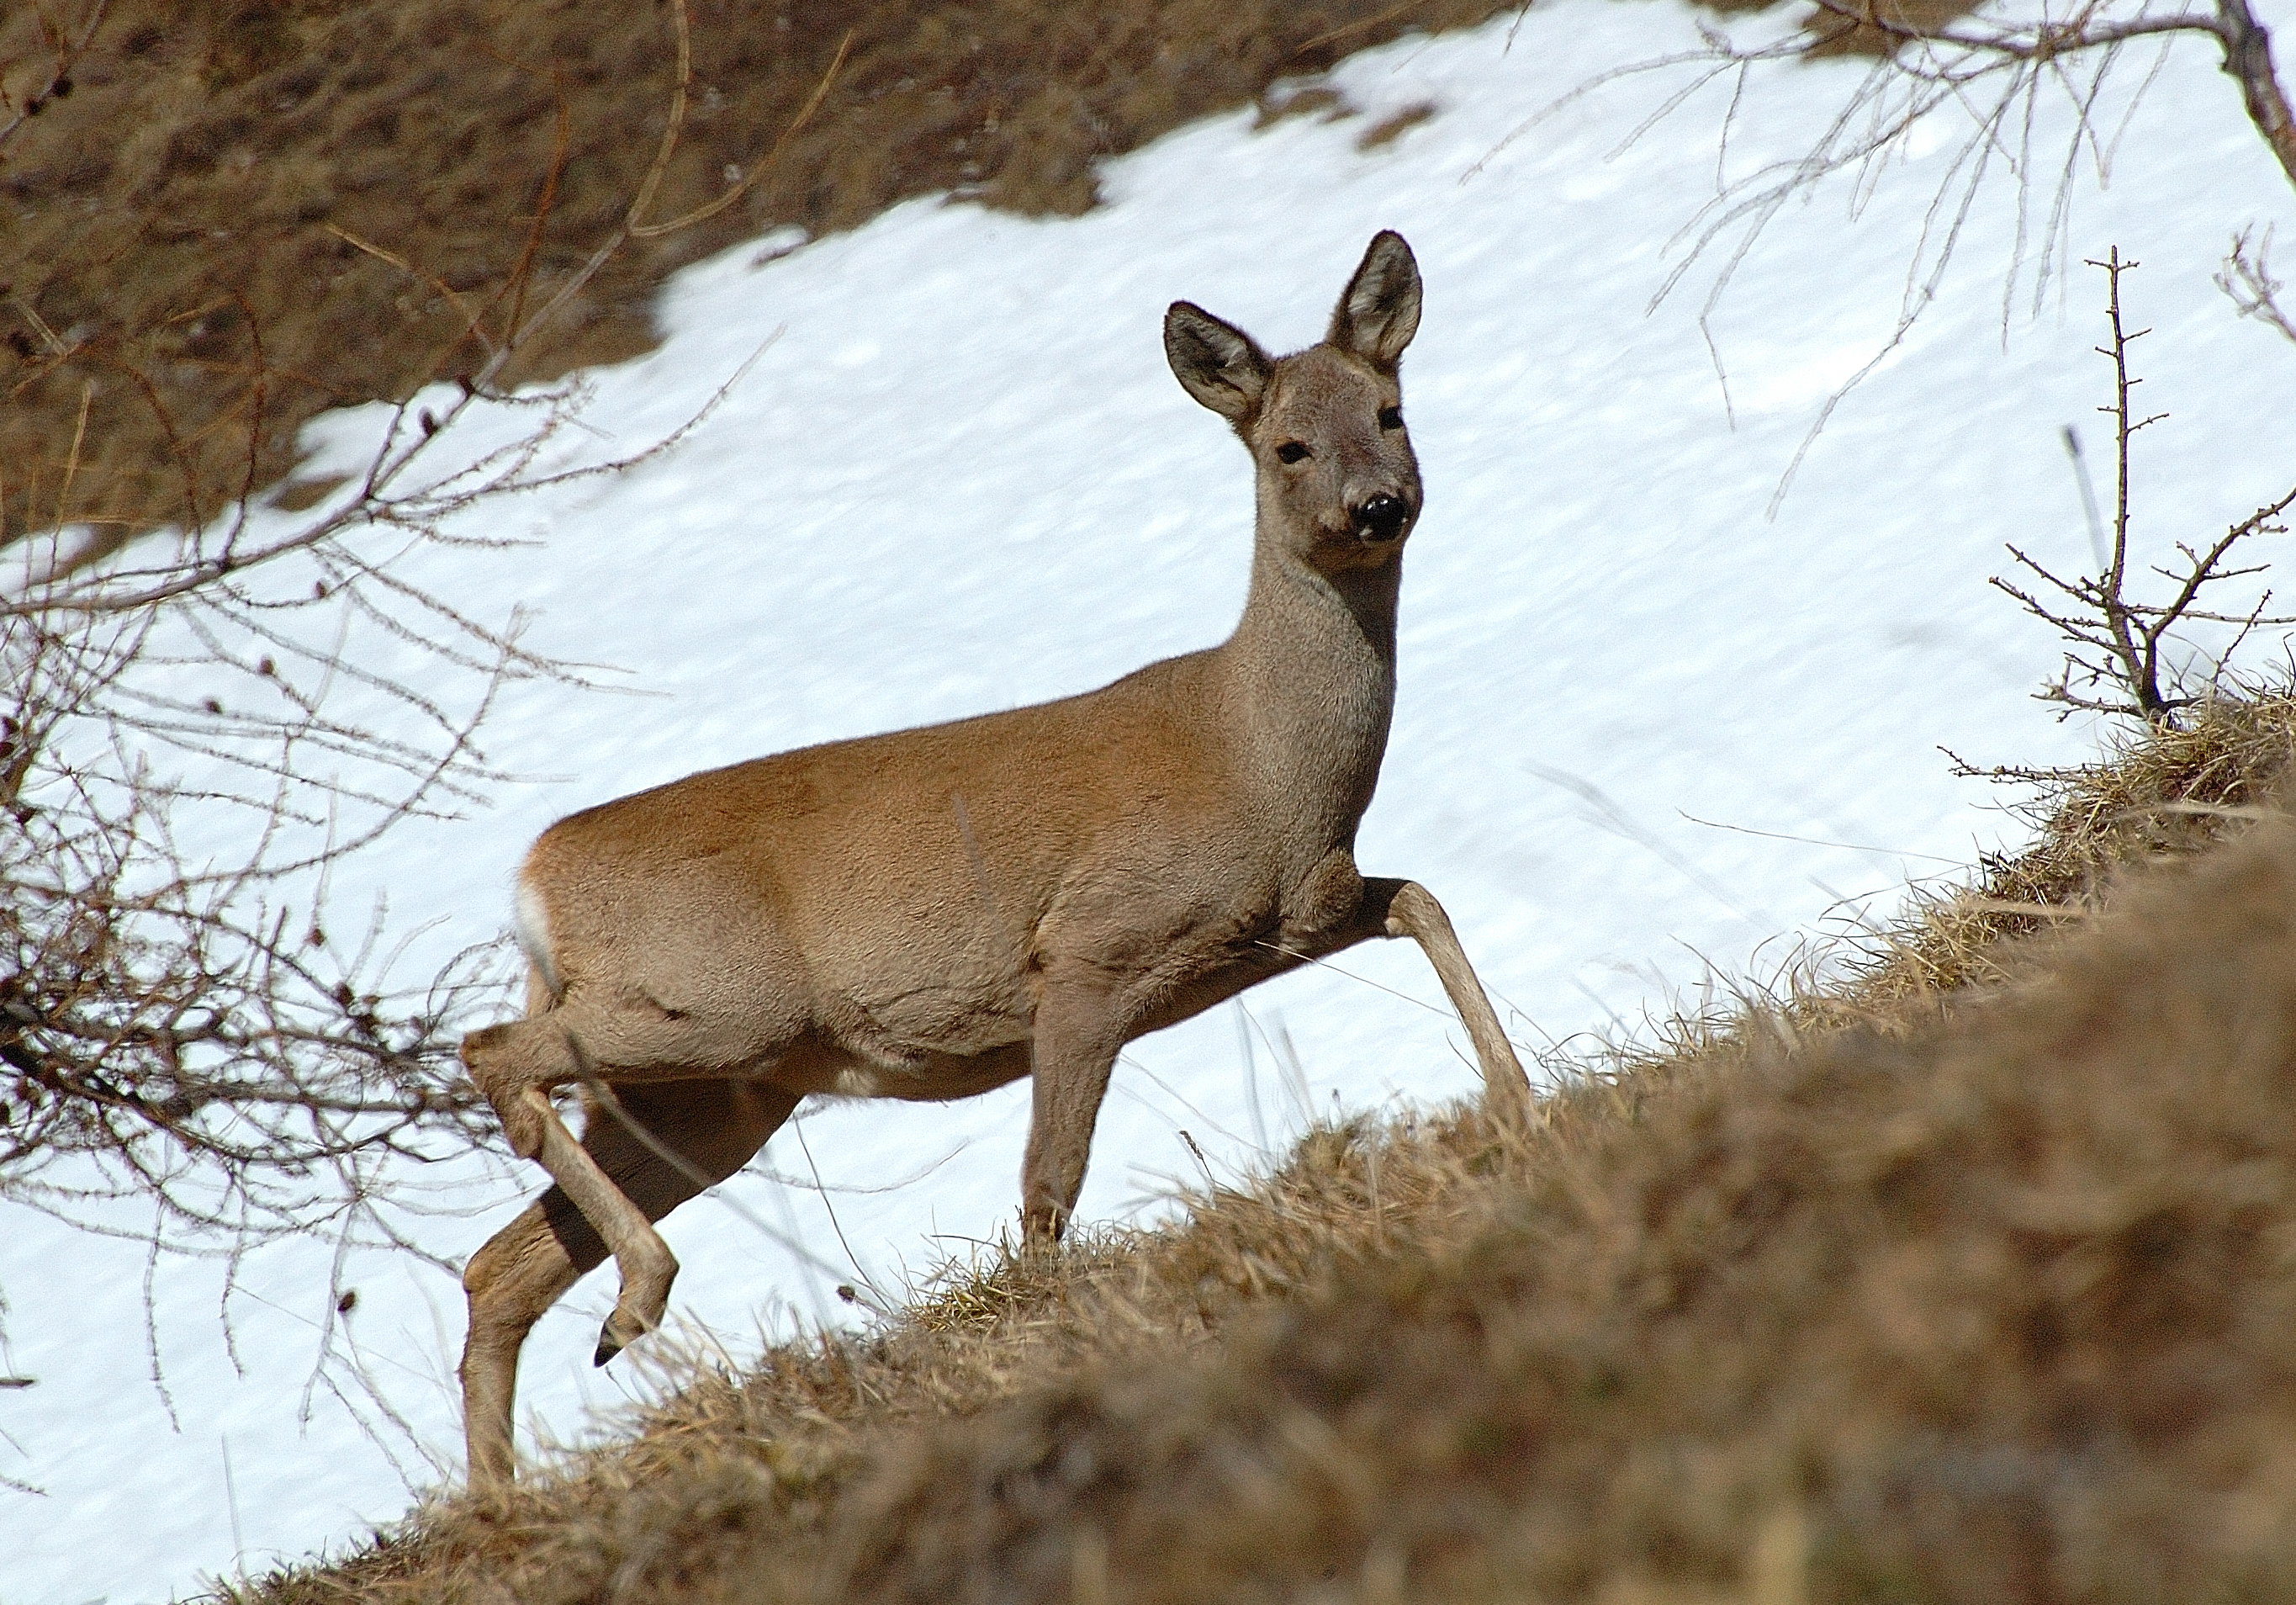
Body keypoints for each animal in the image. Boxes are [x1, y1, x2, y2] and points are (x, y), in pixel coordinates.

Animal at [452, 231, 1524, 1487]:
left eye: (1390, 411)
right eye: (1286, 446)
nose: (1376, 505)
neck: (1257, 757)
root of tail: (533, 881)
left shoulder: (1297, 914)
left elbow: (1422, 903)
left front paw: (1519, 1100)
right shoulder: (1087, 950)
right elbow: (1047, 1185)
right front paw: (1051, 1334)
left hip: (713, 1090)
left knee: (497, 1264)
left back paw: (514, 1470)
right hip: (718, 1005)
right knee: (491, 1056)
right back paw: (635, 1296)